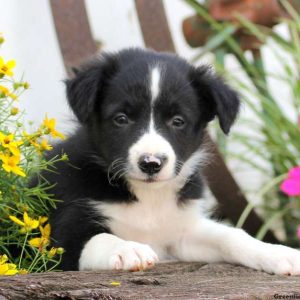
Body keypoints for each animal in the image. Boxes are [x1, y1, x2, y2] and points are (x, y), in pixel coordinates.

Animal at [44, 47, 300, 274]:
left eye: (178, 121)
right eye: (121, 118)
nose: (151, 163)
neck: (148, 198)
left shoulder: (181, 232)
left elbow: (230, 235)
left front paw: (277, 253)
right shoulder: (63, 236)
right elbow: (100, 238)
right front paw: (128, 249)